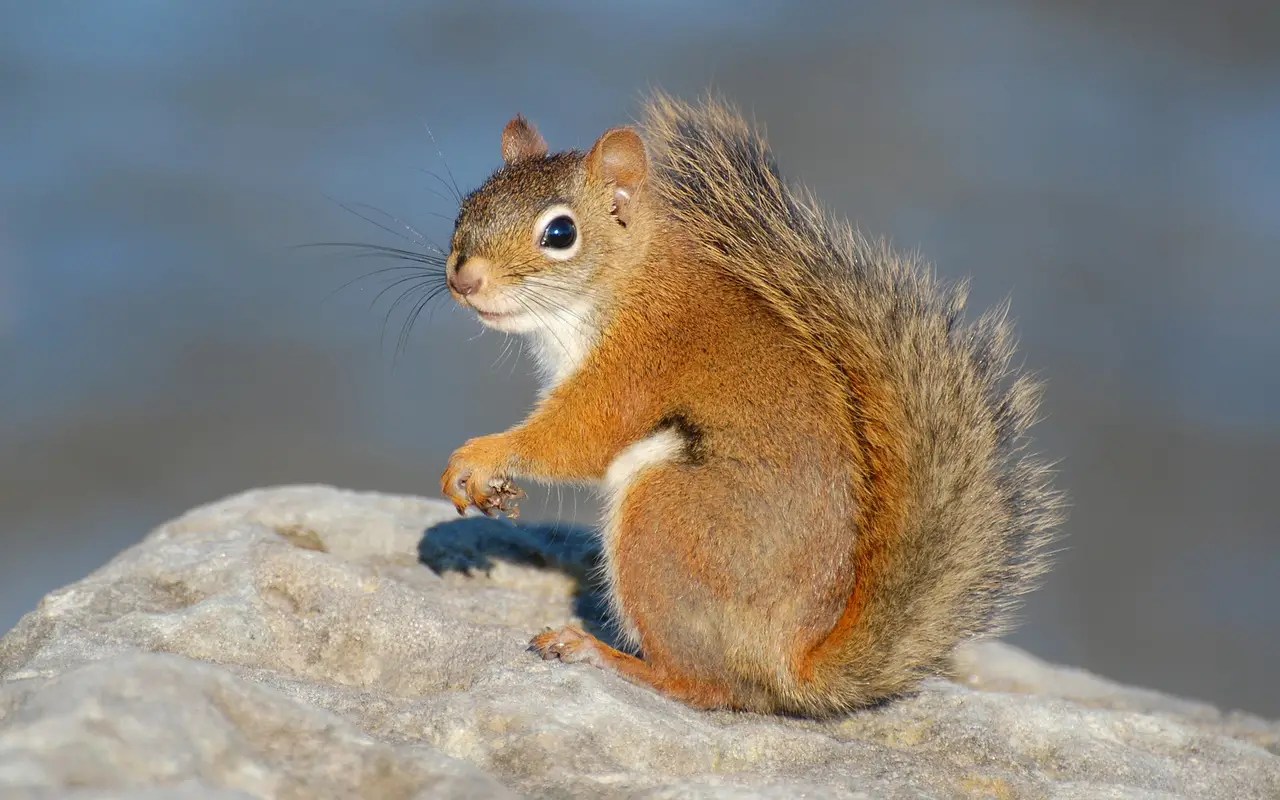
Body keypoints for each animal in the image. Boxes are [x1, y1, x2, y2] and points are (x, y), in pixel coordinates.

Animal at [439, 94, 1063, 717]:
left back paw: (600, 652)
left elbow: (580, 439)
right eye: (469, 204)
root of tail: (790, 664)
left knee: (703, 686)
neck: (629, 280)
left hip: (668, 522)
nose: (464, 280)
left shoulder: (636, 365)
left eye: (561, 232)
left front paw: (480, 457)